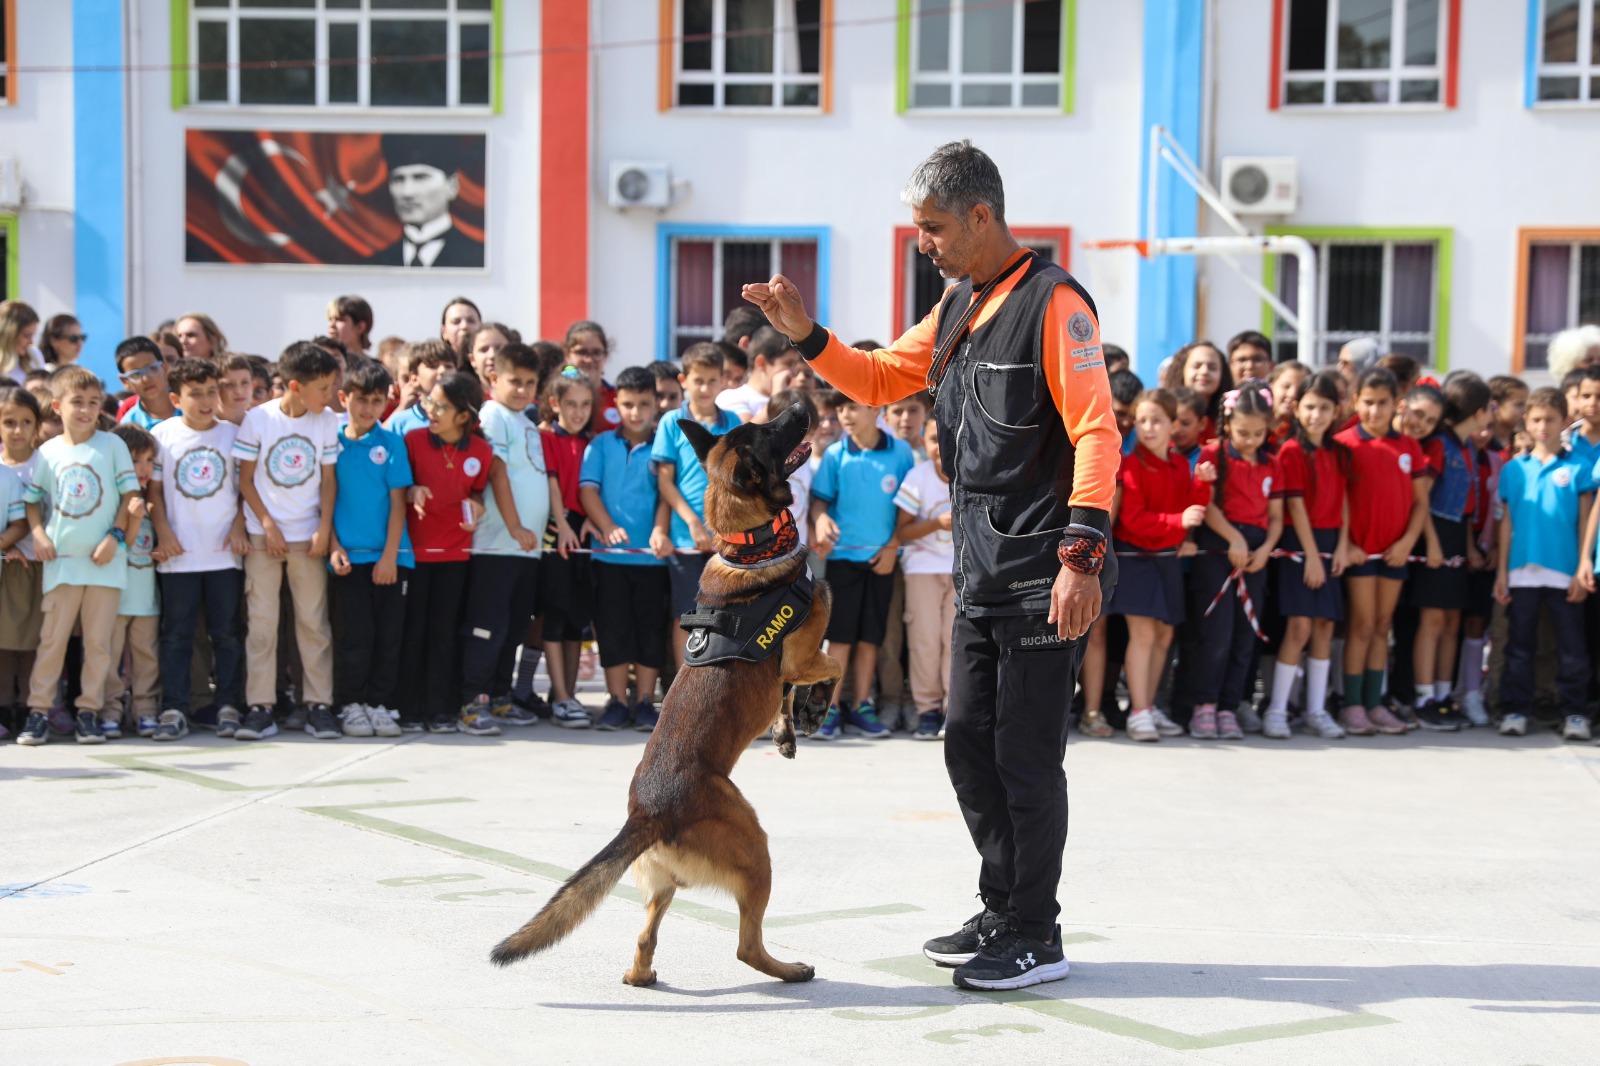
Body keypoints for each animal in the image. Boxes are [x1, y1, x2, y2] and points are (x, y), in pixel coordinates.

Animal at [486, 403, 838, 985]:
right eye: (770, 431)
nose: (801, 404)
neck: (750, 546)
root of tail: (646, 813)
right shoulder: (803, 655)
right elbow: (835, 665)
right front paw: (817, 709)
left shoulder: (790, 668)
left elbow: (788, 692)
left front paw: (788, 729)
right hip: (754, 848)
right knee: (745, 946)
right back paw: (787, 970)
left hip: (664, 885)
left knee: (644, 938)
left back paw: (643, 975)